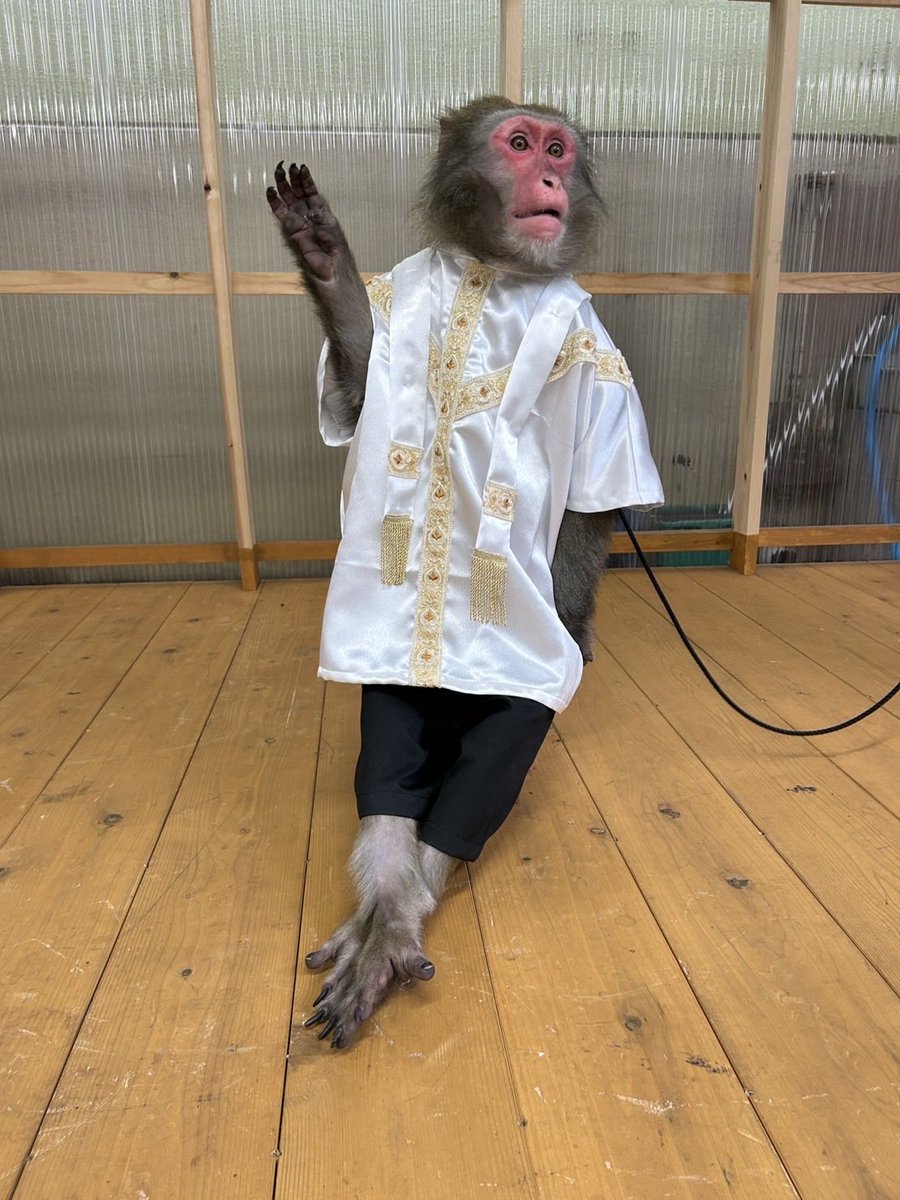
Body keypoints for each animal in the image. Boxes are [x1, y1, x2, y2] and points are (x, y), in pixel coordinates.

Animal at [267, 96, 663, 1049]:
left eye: (558, 148)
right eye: (518, 145)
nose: (550, 174)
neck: (496, 270)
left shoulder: (595, 349)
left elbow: (590, 506)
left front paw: (576, 628)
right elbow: (363, 383)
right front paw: (323, 253)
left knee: (498, 748)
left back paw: (401, 908)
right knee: (391, 733)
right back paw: (384, 888)